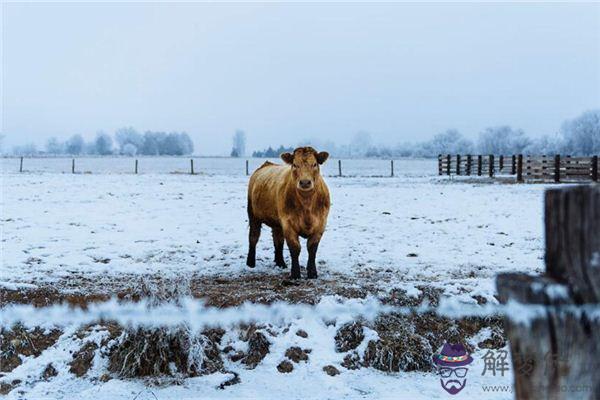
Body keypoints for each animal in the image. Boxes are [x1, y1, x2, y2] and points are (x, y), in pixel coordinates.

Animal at [248, 145, 332, 280]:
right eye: (294, 165)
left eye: (314, 164)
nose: (305, 182)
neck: (307, 205)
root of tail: (267, 164)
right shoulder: (288, 224)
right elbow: (295, 248)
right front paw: (295, 273)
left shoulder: (321, 223)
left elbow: (312, 248)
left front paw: (312, 273)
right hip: (253, 214)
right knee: (253, 237)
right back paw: (250, 263)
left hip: (277, 222)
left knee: (278, 240)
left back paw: (280, 262)